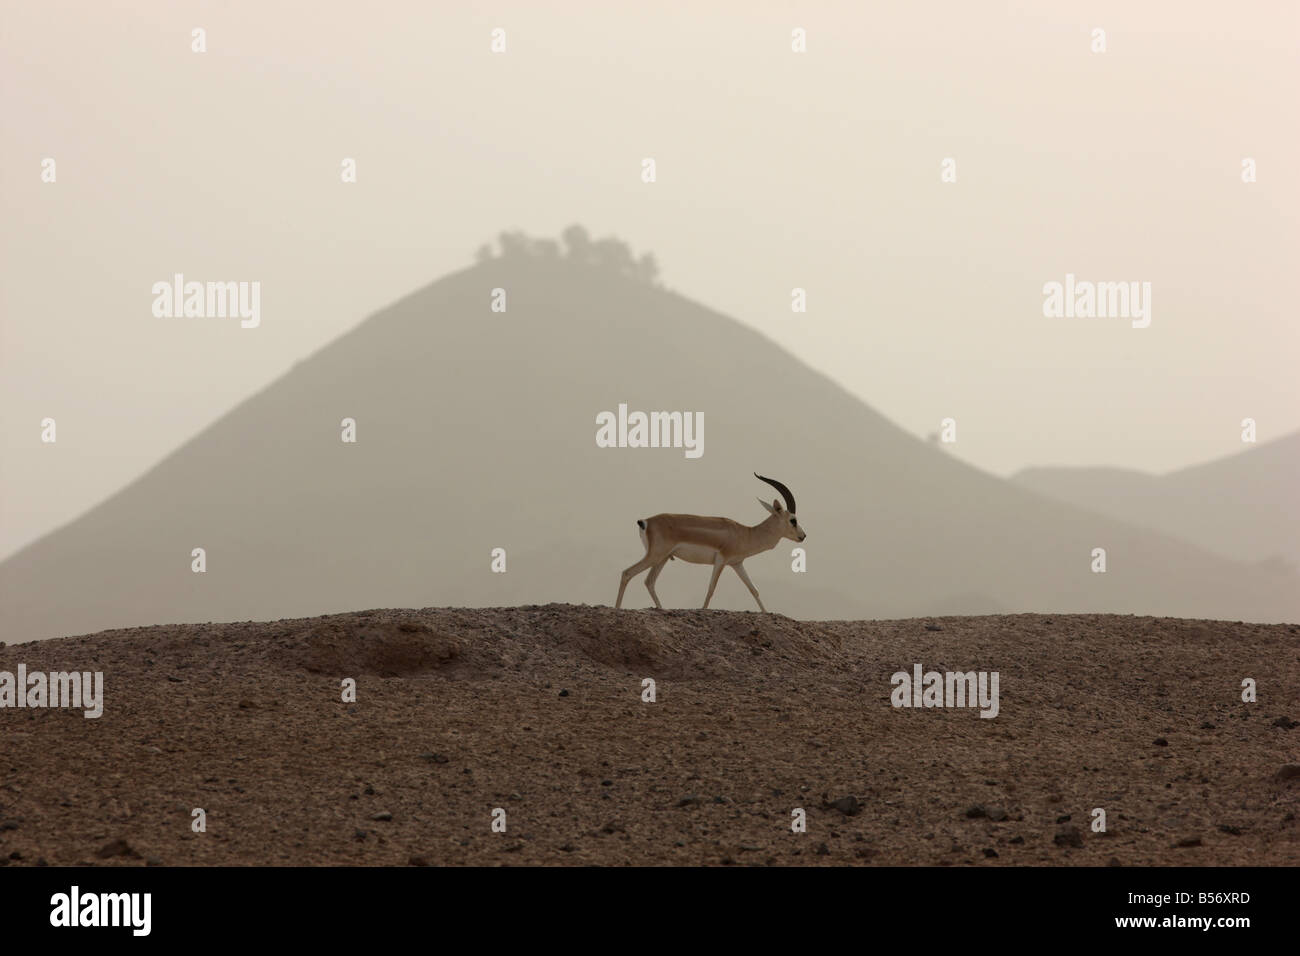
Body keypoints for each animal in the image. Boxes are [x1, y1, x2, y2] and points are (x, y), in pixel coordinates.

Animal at [615, 474, 806, 612]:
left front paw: (766, 613)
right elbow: (711, 588)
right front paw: (703, 610)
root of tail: (646, 522)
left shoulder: (737, 563)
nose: (803, 536)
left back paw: (662, 609)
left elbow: (754, 589)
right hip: (655, 556)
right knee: (627, 573)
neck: (745, 533)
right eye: (793, 520)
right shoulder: (721, 560)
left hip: (662, 558)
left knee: (649, 581)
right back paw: (617, 609)